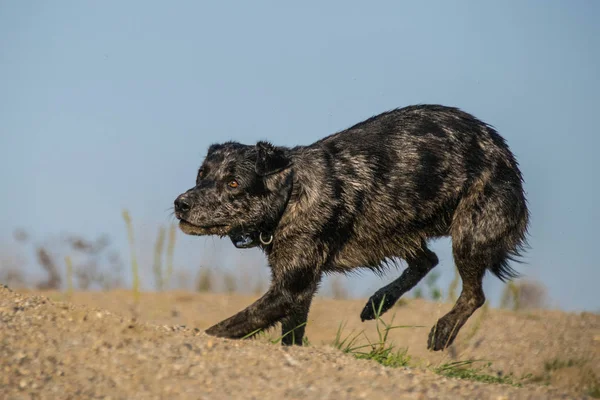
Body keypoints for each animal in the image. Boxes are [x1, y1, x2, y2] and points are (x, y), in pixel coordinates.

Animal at [175, 104, 528, 350]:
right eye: (202, 174)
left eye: (233, 183)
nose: (181, 203)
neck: (293, 194)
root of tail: (503, 149)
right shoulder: (297, 289)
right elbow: (291, 335)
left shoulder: (290, 289)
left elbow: (227, 326)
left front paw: (195, 339)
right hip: (395, 227)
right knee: (428, 260)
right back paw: (379, 302)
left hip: (469, 234)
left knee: (474, 294)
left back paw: (442, 330)